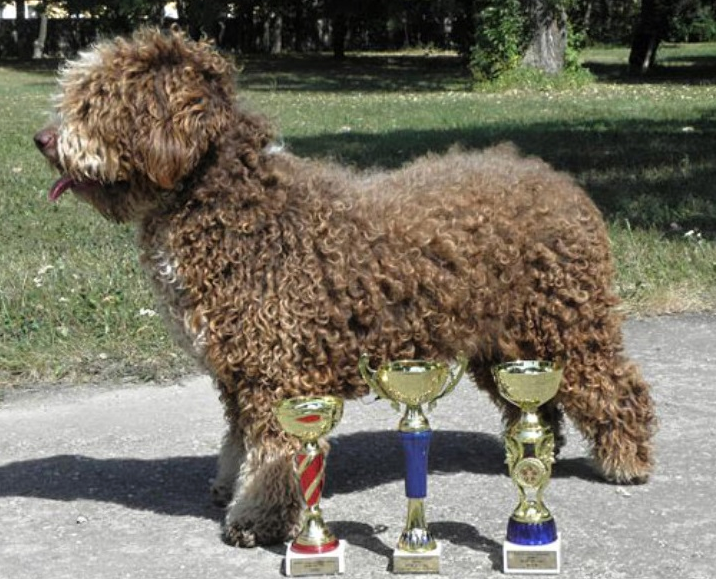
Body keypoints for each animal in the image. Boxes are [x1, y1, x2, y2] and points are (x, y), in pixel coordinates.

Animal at [36, 28, 656, 548]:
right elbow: (239, 442)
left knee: (617, 387)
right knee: (538, 404)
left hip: (568, 325)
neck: (232, 206)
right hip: (506, 342)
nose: (43, 139)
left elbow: (274, 456)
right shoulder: (237, 371)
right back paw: (536, 449)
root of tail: (561, 183)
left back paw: (626, 460)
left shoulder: (276, 371)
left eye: (97, 101)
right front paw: (227, 486)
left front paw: (256, 518)